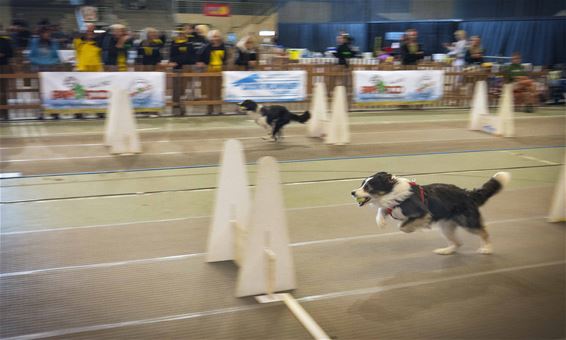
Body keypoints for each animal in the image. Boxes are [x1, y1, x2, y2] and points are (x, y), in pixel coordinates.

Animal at [352, 173, 512, 255]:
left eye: (368, 187)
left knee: (483, 232)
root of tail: (468, 194)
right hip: (447, 227)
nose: (352, 192)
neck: (392, 191)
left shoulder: (422, 211)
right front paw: (381, 222)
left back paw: (487, 249)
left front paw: (412, 228)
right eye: (362, 184)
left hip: (467, 221)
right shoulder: (390, 205)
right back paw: (445, 251)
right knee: (458, 242)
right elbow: (382, 210)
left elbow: (402, 226)